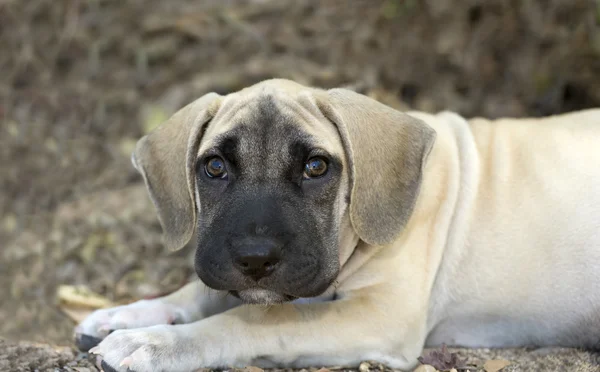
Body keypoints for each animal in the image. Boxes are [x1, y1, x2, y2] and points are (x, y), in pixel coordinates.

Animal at [74, 79, 600, 372]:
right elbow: (202, 292)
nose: (255, 259)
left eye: (317, 167)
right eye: (215, 167)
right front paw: (130, 315)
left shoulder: (381, 315)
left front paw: (156, 343)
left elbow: (261, 316)